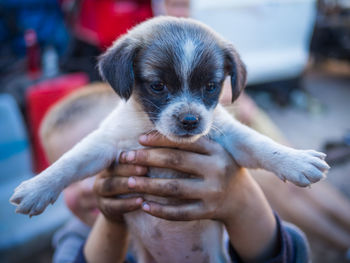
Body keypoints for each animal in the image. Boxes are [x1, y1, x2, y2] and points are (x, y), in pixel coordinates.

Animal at [10, 17, 328, 263]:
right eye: (158, 86)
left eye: (211, 87)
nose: (190, 120)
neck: (155, 131)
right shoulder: (106, 144)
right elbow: (70, 162)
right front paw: (37, 188)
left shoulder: (228, 135)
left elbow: (260, 145)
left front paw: (296, 161)